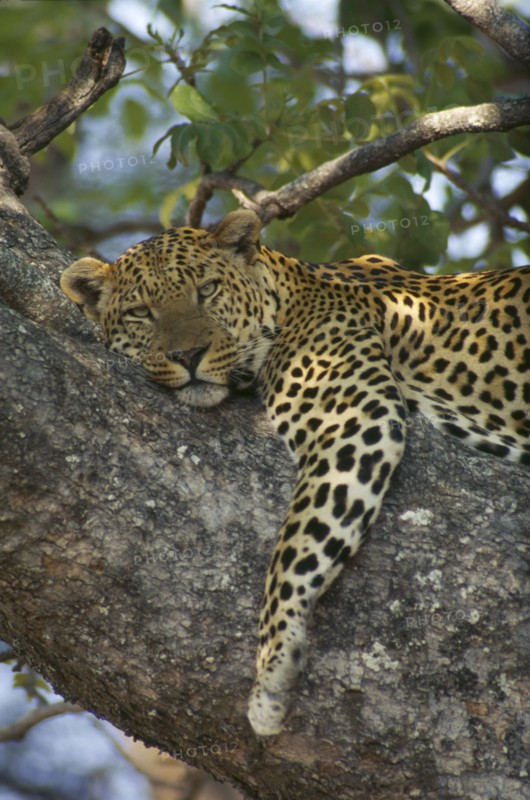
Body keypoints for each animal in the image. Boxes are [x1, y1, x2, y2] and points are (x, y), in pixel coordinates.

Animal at [60, 209, 530, 737]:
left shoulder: (353, 420)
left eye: (207, 290)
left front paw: (272, 670)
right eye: (141, 312)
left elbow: (295, 551)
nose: (188, 356)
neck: (290, 292)